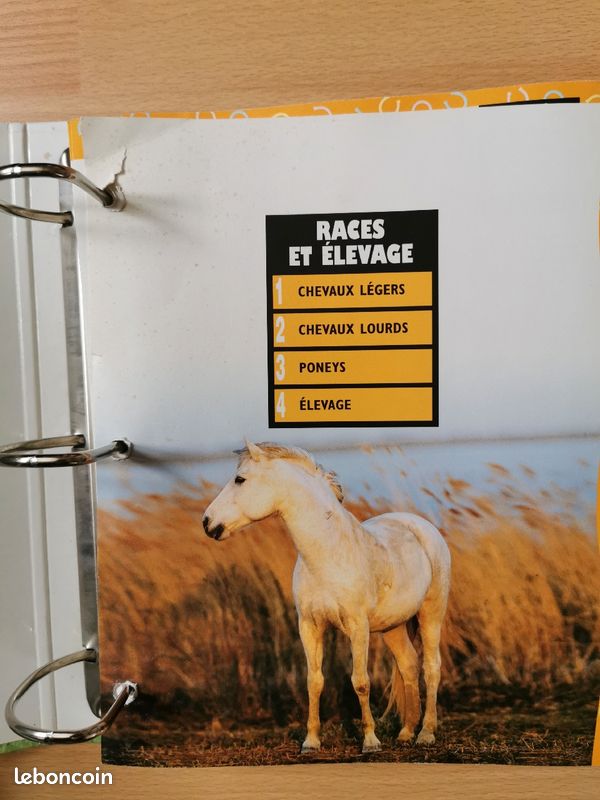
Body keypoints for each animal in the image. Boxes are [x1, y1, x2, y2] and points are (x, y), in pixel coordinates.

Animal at [202, 441, 451, 753]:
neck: (327, 555)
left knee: (431, 668)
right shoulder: (309, 626)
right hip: (393, 627)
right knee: (408, 665)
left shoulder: (358, 627)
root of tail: (420, 525)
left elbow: (361, 682)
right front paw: (311, 742)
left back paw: (426, 733)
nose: (207, 522)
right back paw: (406, 733)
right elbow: (314, 681)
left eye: (240, 479)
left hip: (431, 614)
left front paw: (370, 741)